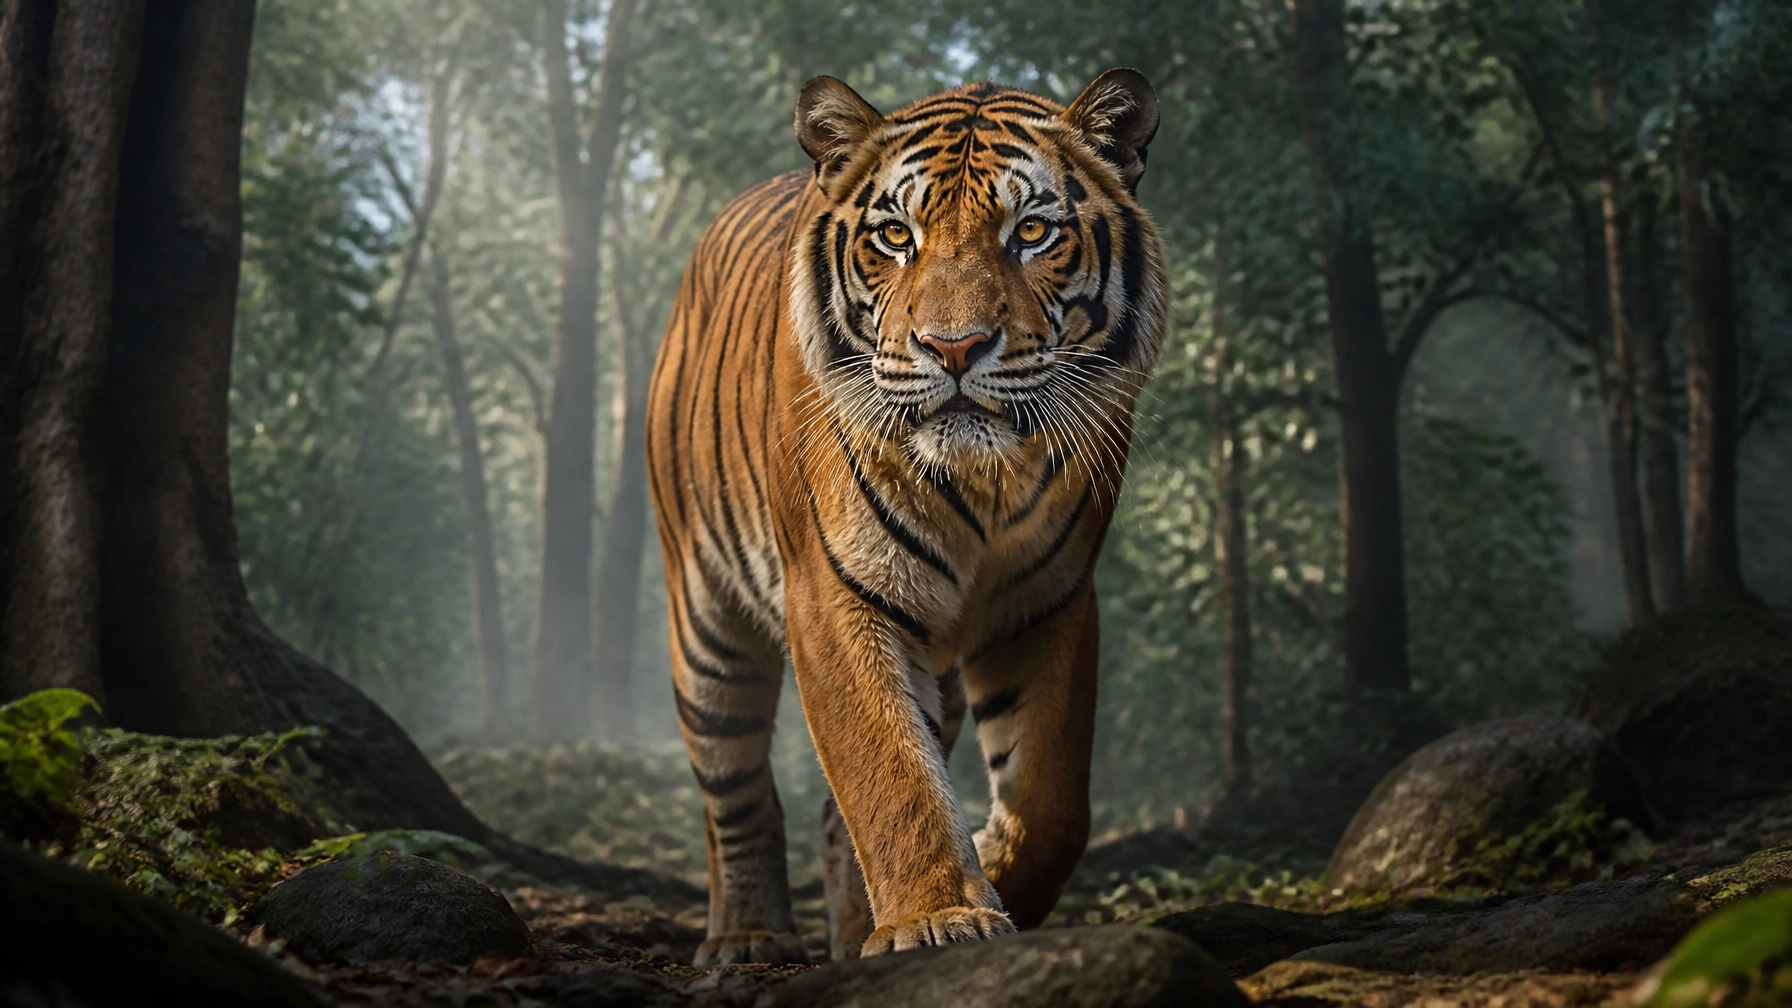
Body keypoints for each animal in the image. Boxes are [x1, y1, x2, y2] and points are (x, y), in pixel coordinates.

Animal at [645, 68, 1168, 966]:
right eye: (895, 236)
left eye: (1032, 231)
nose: (953, 347)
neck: (985, 480)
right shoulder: (834, 592)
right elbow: (888, 772)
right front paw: (938, 917)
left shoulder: (1050, 598)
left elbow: (1054, 800)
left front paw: (992, 873)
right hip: (708, 625)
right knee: (736, 792)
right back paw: (747, 936)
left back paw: (856, 932)